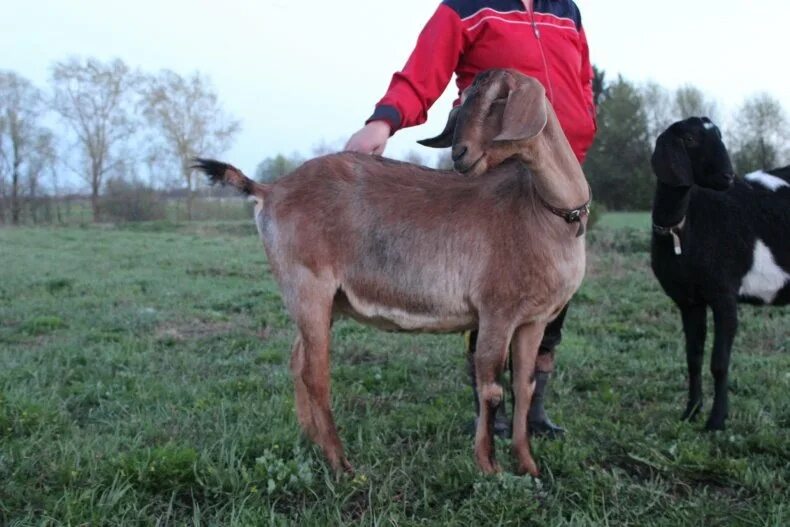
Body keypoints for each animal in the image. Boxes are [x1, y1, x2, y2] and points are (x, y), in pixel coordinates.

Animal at [193, 70, 588, 478]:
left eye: (499, 100)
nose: (460, 154)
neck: (545, 211)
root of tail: (269, 190)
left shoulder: (533, 320)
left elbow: (524, 386)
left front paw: (529, 465)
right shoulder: (497, 311)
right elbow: (491, 389)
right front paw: (490, 468)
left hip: (324, 302)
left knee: (298, 361)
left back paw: (311, 440)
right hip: (307, 286)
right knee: (316, 375)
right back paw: (342, 464)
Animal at [648, 118, 790, 434]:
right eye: (689, 138)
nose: (728, 176)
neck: (684, 225)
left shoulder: (724, 294)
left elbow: (719, 362)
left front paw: (716, 421)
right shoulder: (689, 301)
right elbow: (693, 358)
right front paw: (690, 412)